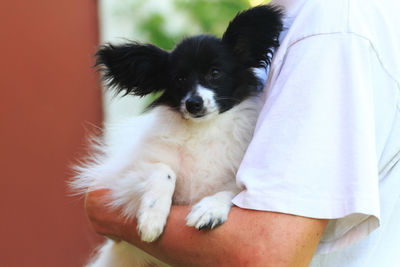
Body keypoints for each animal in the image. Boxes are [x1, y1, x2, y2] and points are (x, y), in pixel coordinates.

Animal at [73, 4, 282, 267]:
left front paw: (210, 208)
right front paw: (152, 217)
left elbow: (232, 190)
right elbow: (164, 171)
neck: (204, 129)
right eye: (179, 78)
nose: (193, 103)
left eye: (215, 73)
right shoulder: (122, 177)